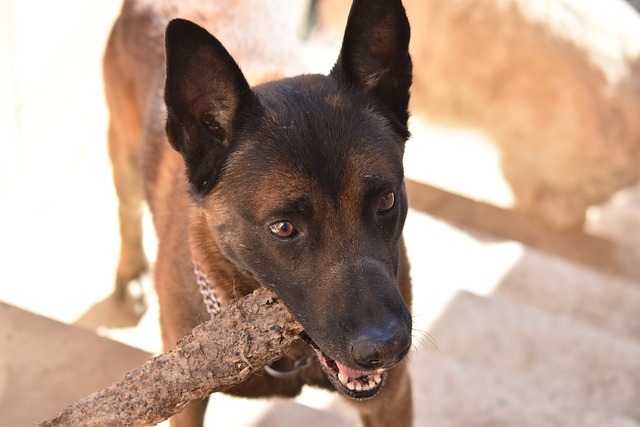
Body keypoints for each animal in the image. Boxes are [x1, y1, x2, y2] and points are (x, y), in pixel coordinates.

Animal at [104, 0, 416, 424]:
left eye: (385, 201)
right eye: (283, 228)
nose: (387, 349)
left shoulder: (393, 400)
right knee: (127, 210)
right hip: (124, 155)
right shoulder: (186, 406)